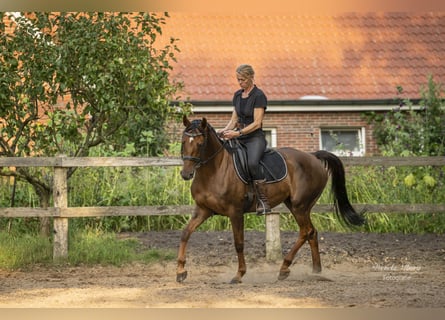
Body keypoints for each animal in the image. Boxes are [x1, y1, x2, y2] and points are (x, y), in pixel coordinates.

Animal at [175, 114, 362, 282]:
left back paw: (284, 268)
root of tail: (313, 156)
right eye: (183, 142)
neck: (214, 171)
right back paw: (316, 271)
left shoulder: (235, 212)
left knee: (305, 232)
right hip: (297, 205)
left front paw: (239, 274)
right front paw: (180, 271)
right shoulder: (203, 210)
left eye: (200, 144)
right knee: (312, 233)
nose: (186, 174)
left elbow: (239, 243)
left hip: (300, 206)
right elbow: (185, 234)